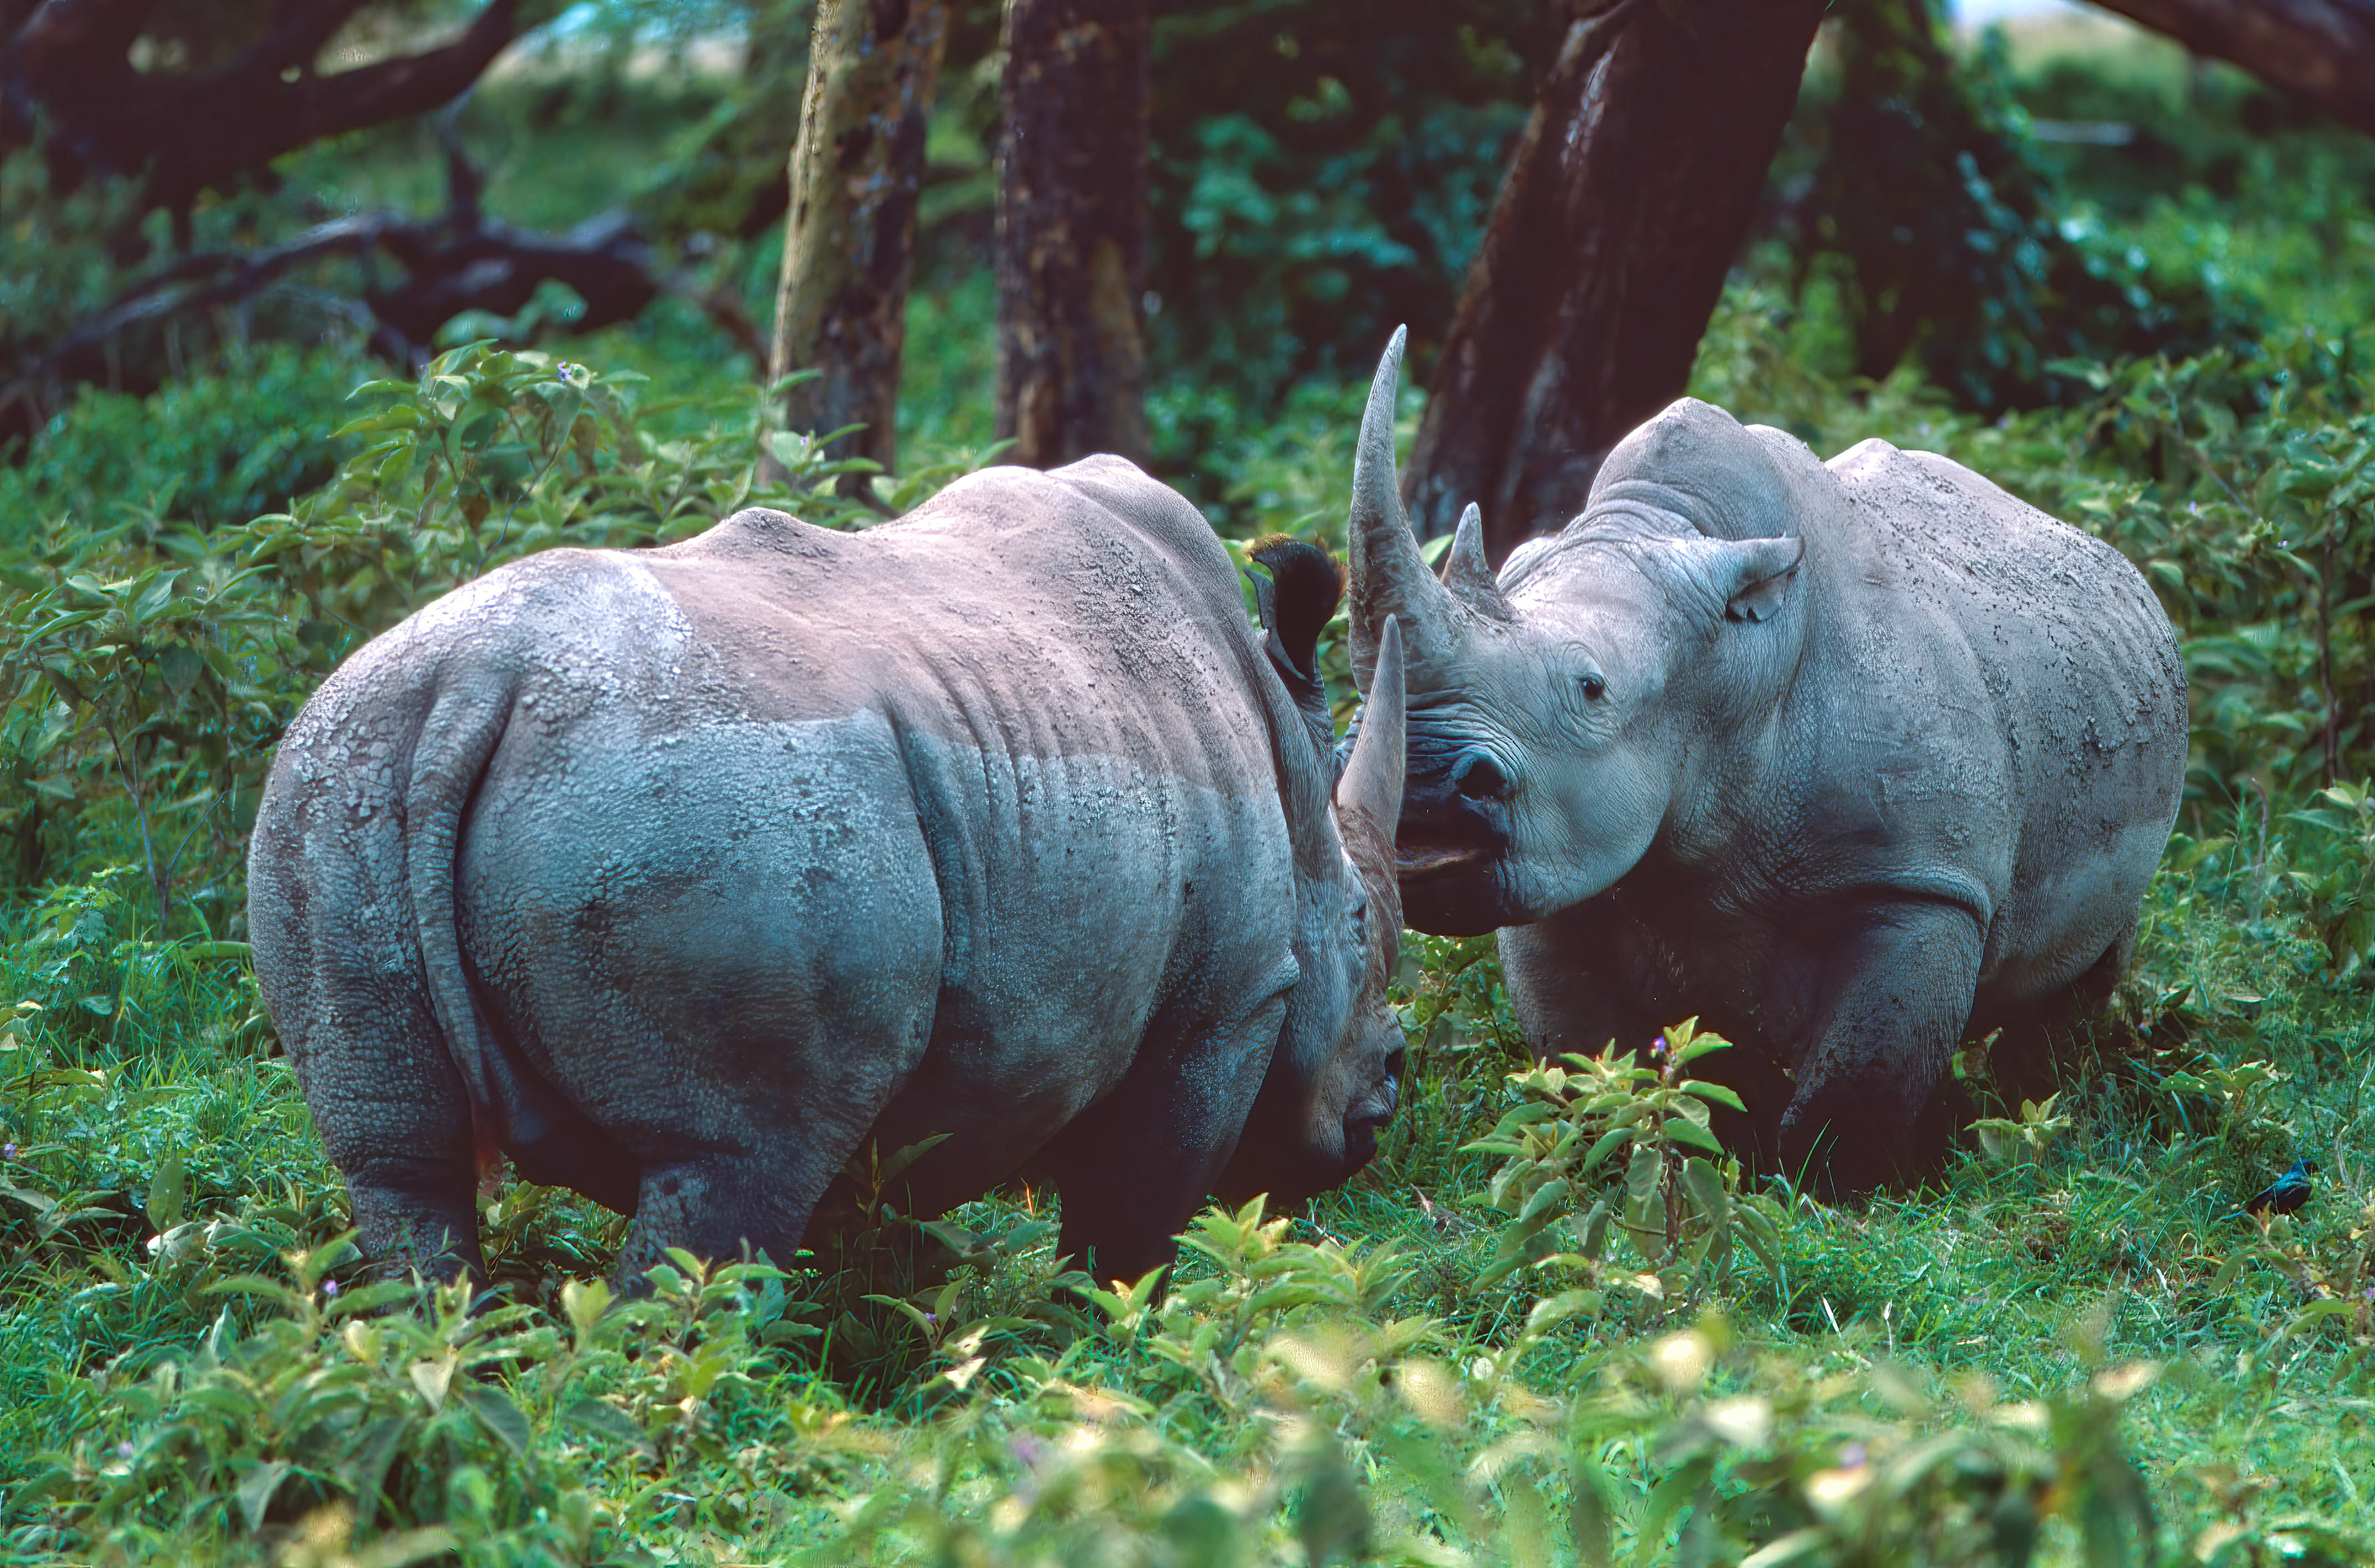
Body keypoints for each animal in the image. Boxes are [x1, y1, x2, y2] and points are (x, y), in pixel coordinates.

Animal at [247, 457, 1409, 1287]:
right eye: (1364, 926)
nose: (1386, 1100)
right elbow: (1128, 1232)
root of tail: (472, 684)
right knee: (730, 1174)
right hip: (713, 809)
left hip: (336, 783)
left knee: (402, 1171)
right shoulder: (1226, 1002)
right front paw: (1104, 1370)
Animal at [1344, 331, 2187, 1190]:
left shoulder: (1924, 880)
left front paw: (1830, 1193)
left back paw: (2037, 1106)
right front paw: (1672, 1162)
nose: (1425, 792)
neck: (1729, 672)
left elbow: (1864, 1072)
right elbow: (1591, 1057)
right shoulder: (1569, 859)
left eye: (1591, 687)